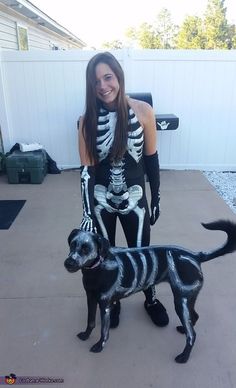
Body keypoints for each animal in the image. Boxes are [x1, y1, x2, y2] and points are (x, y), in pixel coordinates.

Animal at [64, 221, 236, 364]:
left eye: (86, 248)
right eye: (72, 245)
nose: (68, 263)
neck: (97, 268)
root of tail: (196, 256)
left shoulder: (105, 304)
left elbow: (103, 332)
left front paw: (99, 346)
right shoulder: (91, 298)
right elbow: (90, 322)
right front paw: (86, 335)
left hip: (181, 301)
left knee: (192, 335)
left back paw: (184, 357)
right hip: (188, 299)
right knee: (194, 318)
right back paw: (183, 330)